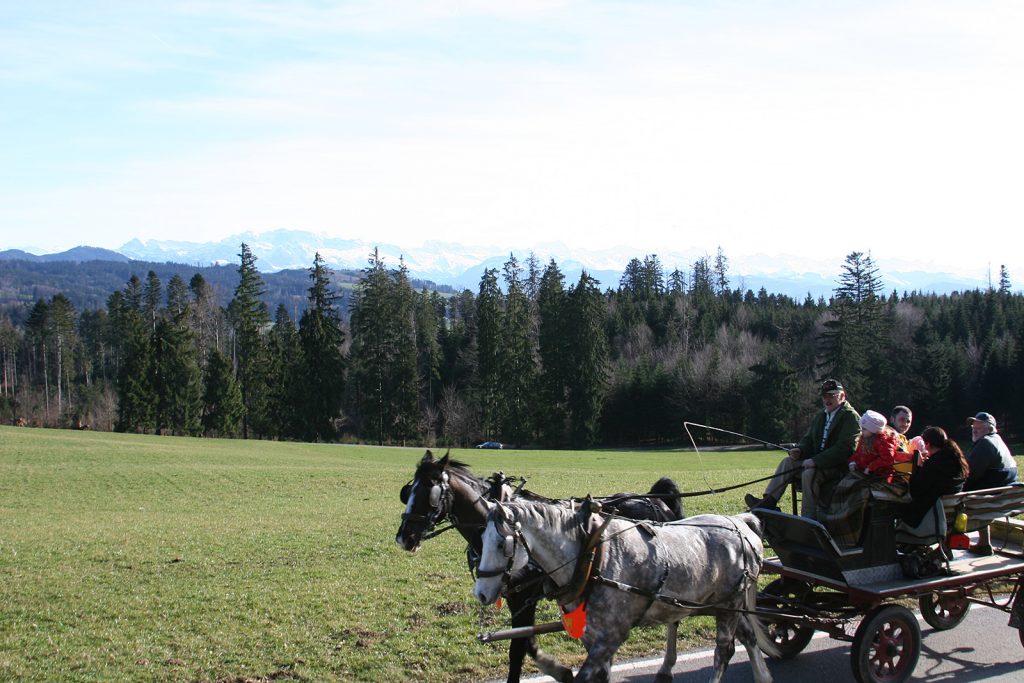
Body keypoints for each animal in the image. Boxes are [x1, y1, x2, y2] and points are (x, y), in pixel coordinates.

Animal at [395, 448, 684, 683]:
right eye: (408, 492)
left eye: (430, 492)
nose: (404, 538)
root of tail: (656, 499)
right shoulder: (516, 599)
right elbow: (528, 642)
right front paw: (561, 670)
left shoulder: (525, 598)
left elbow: (518, 650)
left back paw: (666, 668)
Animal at [475, 497, 770, 683]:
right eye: (481, 539)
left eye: (503, 545)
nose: (480, 593)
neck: (591, 555)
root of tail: (741, 523)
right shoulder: (592, 637)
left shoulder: (610, 636)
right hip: (721, 604)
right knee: (747, 637)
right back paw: (763, 676)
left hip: (729, 605)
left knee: (723, 652)